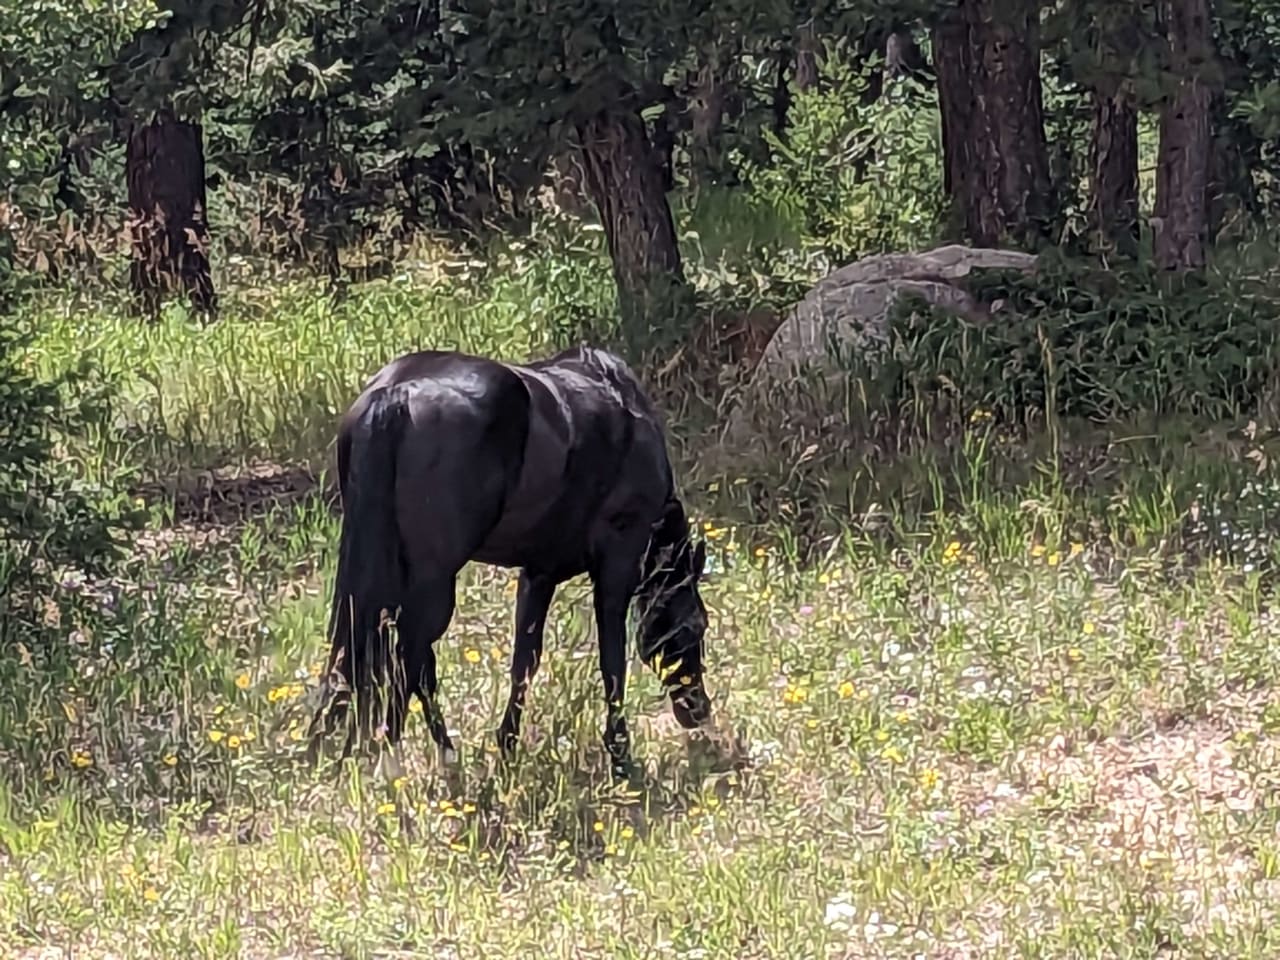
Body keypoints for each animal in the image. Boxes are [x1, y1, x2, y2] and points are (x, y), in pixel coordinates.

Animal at [305, 345, 716, 783]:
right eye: (695, 626)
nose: (697, 709)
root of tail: (395, 396)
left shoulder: (540, 572)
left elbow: (525, 663)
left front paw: (507, 748)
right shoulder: (615, 570)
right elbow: (612, 663)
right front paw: (621, 757)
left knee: (361, 660)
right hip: (433, 586)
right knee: (408, 661)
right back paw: (393, 761)